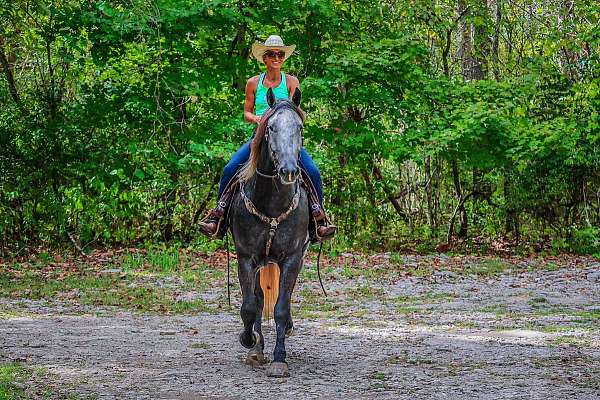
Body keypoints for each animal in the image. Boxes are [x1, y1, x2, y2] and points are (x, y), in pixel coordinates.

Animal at [230, 87, 310, 378]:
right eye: (271, 127)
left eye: (299, 127)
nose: (288, 171)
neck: (272, 202)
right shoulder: (246, 258)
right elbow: (250, 306)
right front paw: (250, 343)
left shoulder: (292, 259)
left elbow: (281, 308)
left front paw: (279, 359)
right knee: (258, 299)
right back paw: (256, 346)